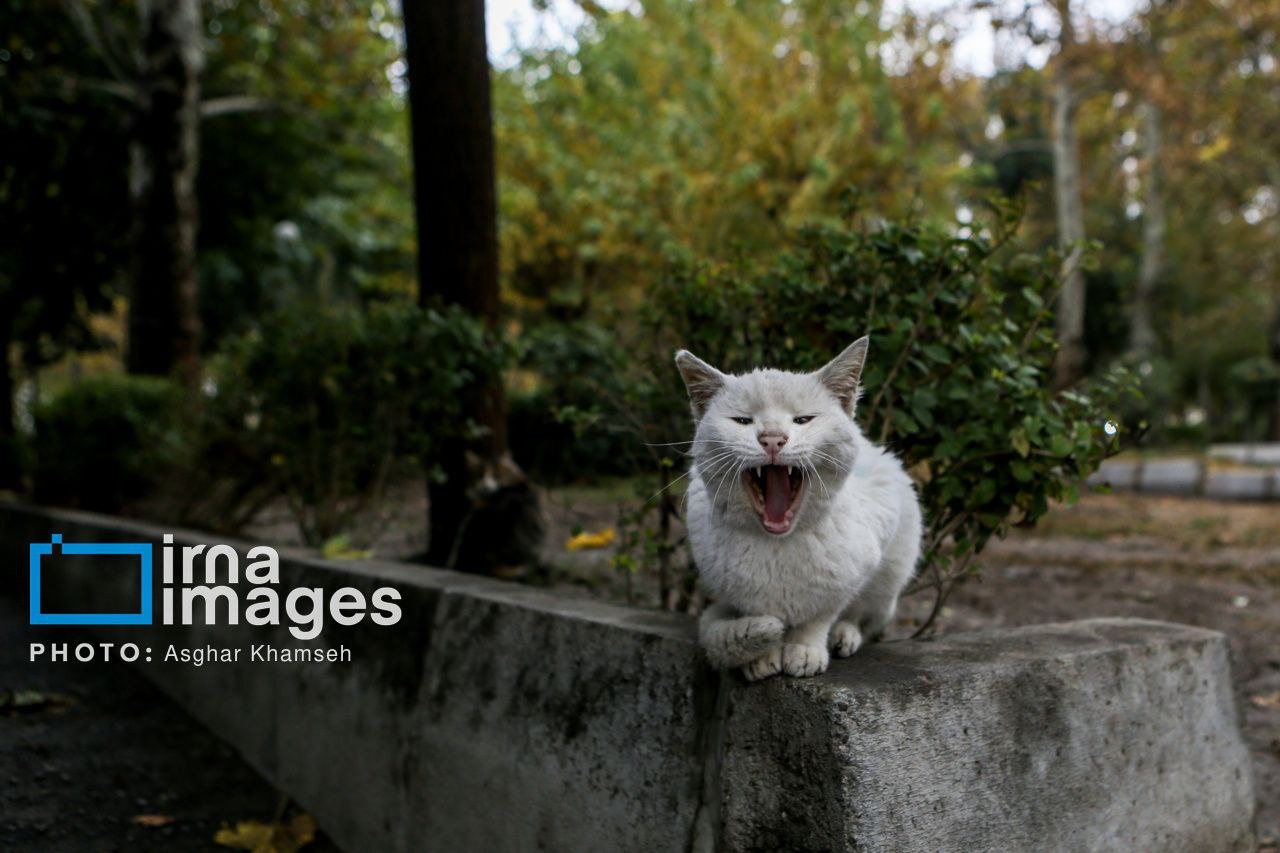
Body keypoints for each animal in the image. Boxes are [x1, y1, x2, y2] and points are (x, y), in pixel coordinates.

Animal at [680, 338, 921, 676]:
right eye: (743, 421)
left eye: (803, 420)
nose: (772, 439)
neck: (778, 544)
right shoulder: (740, 596)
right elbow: (765, 619)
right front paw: (762, 658)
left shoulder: (853, 572)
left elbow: (819, 618)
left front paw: (805, 651)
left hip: (889, 582)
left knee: (862, 618)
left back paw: (843, 637)